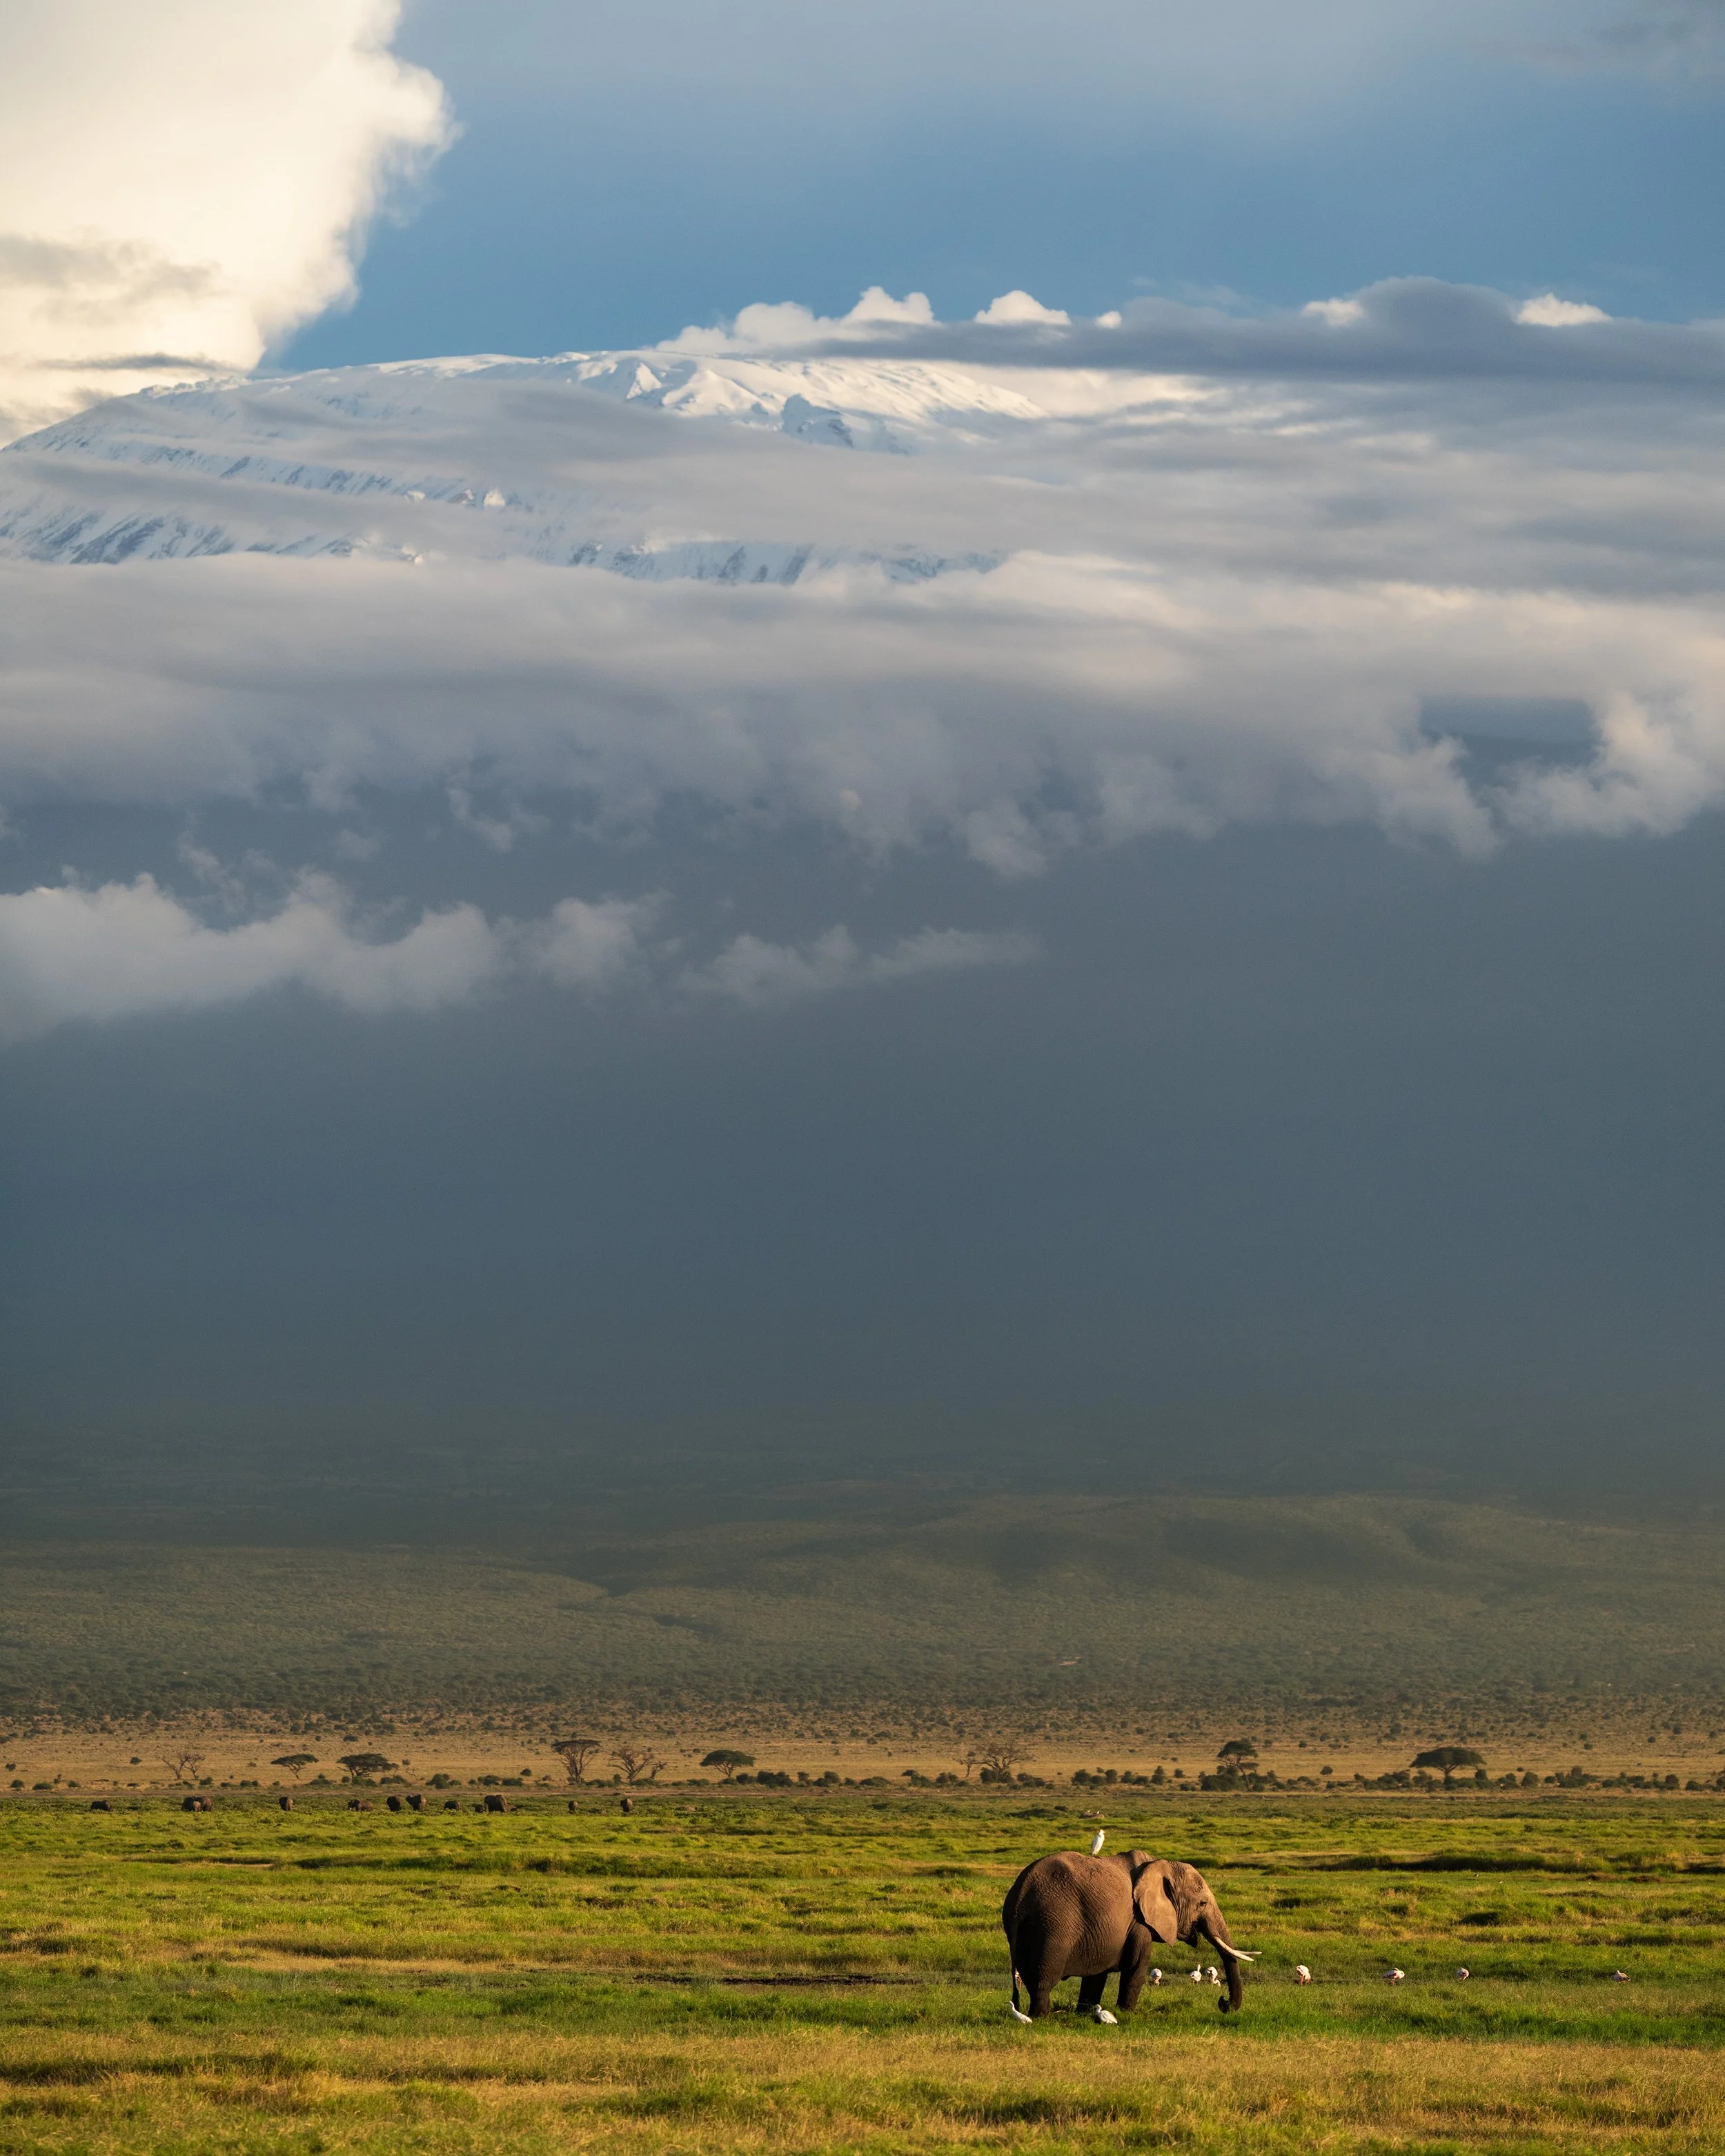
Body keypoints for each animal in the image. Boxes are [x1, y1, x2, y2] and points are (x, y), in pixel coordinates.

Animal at [1002, 1849, 1252, 2019]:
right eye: (1202, 1904)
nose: (1223, 2003)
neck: (1162, 1865)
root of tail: (1021, 1893)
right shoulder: (1138, 1921)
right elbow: (1137, 1965)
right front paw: (1126, 2014)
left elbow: (1097, 1974)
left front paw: (1087, 2014)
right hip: (1053, 1926)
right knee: (1043, 1980)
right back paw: (1041, 2018)